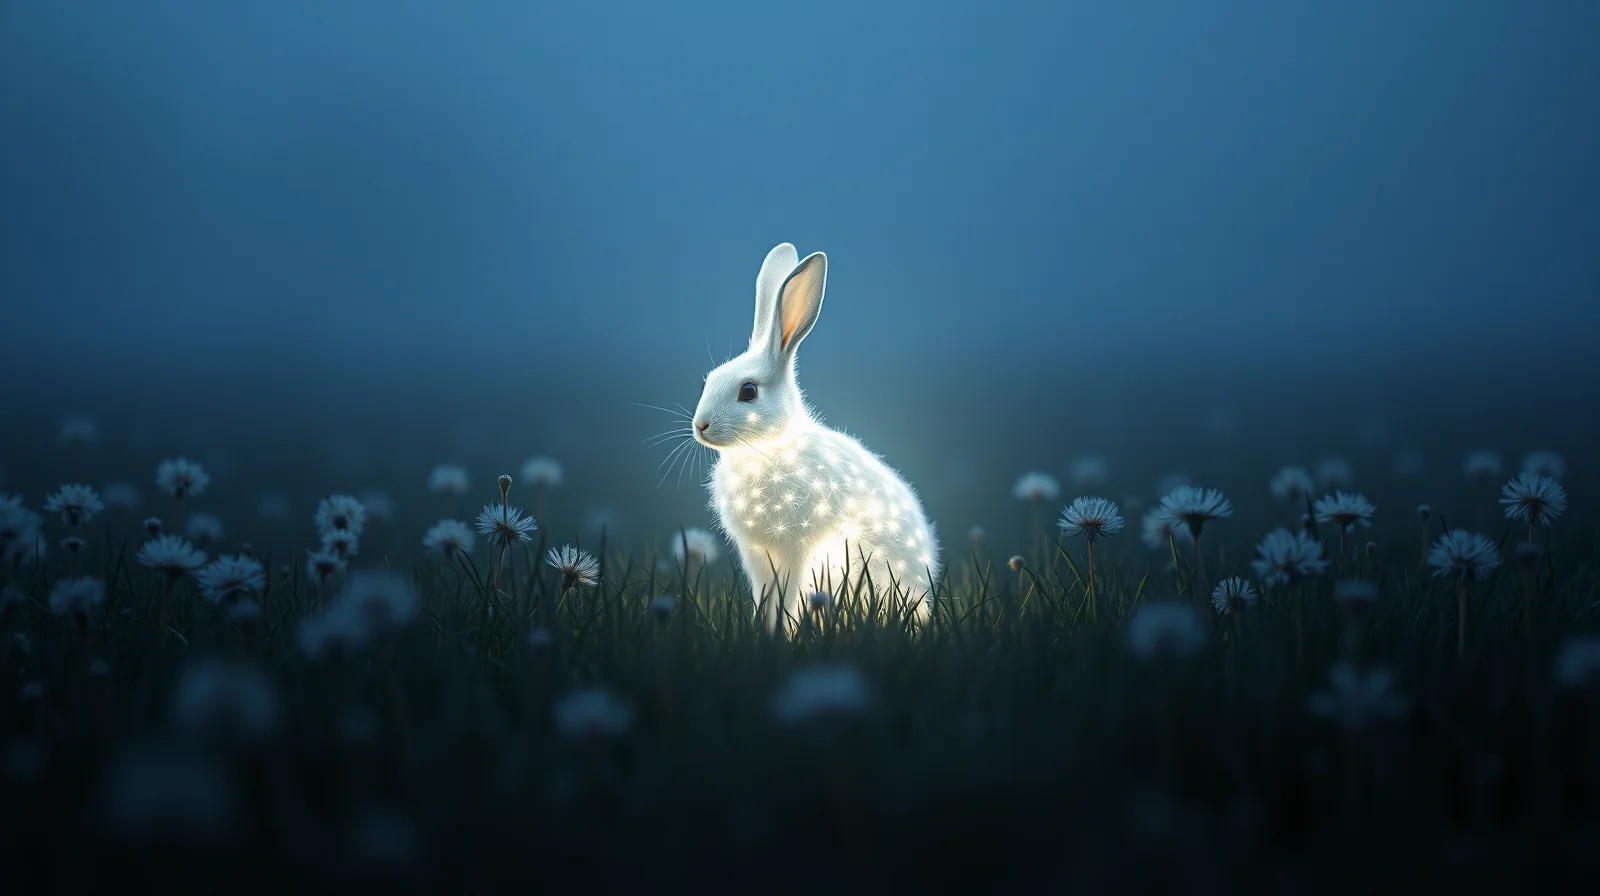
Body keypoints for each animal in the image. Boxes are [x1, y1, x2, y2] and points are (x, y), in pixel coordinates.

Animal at [691, 242, 941, 632]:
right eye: (710, 379)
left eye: (748, 392)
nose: (700, 426)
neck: (767, 448)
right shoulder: (757, 556)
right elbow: (764, 595)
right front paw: (763, 629)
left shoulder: (796, 548)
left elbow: (788, 594)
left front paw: (784, 631)